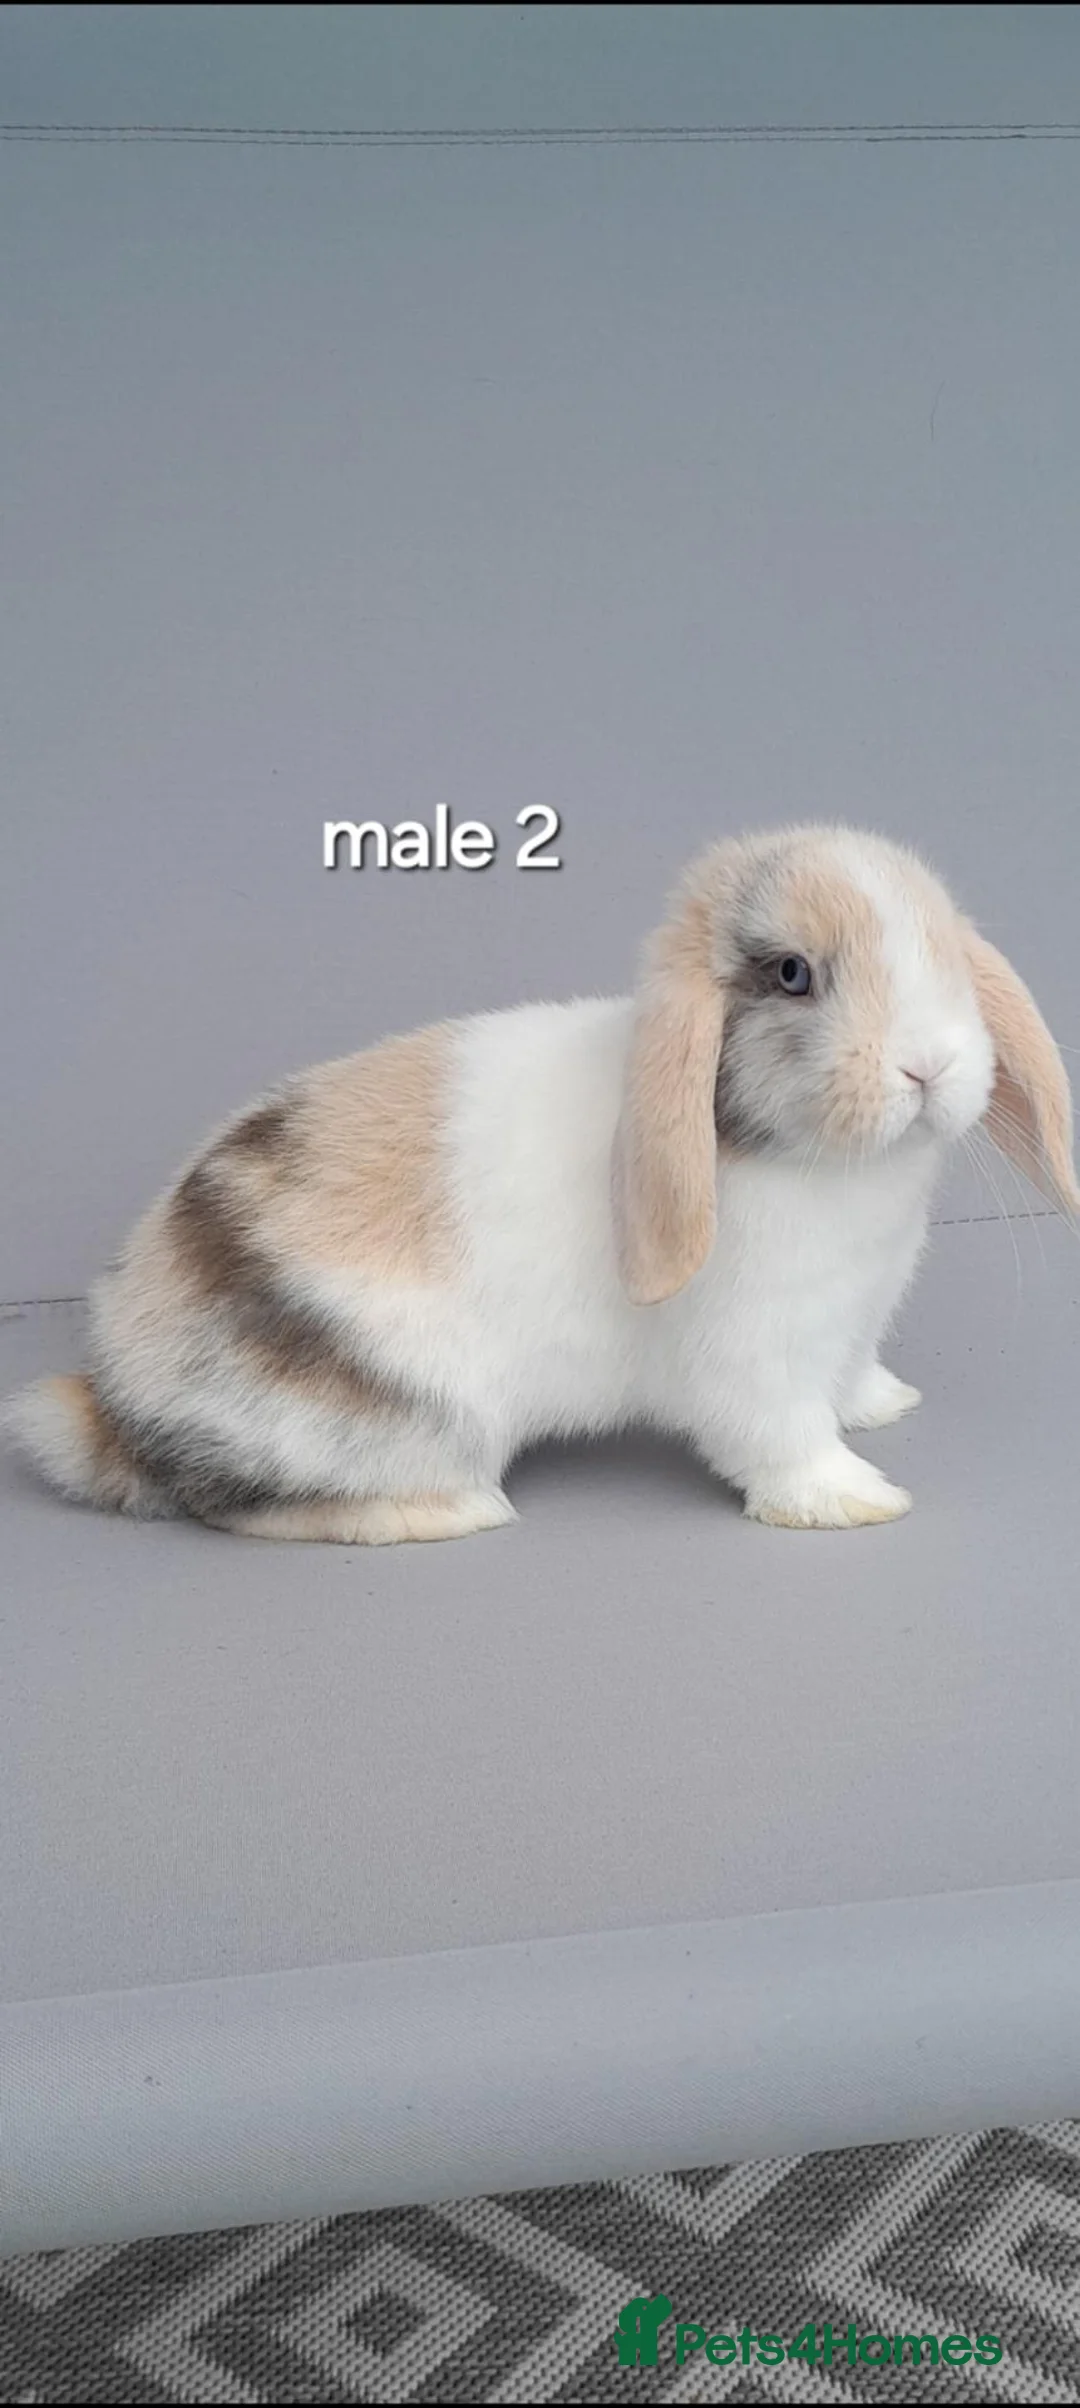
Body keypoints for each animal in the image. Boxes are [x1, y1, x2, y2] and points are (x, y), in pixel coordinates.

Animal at [5, 823, 1077, 1540]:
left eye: (945, 952)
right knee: (244, 1507)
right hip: (394, 1418)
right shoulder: (755, 1357)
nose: (928, 1067)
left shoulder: (849, 1323)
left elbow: (847, 1380)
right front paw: (856, 1501)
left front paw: (885, 1407)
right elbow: (781, 1437)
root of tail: (112, 1404)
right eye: (792, 974)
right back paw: (452, 1513)